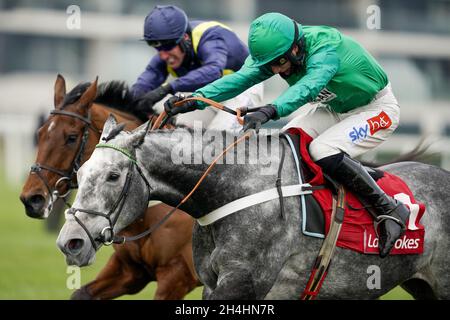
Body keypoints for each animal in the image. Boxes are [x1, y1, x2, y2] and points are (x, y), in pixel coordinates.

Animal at [19, 75, 199, 300]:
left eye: (71, 137)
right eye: (40, 133)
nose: (31, 199)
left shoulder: (177, 274)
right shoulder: (129, 269)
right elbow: (81, 294)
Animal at [56, 115, 450, 300]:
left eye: (113, 175)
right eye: (81, 172)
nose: (70, 242)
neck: (233, 190)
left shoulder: (239, 285)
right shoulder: (209, 284)